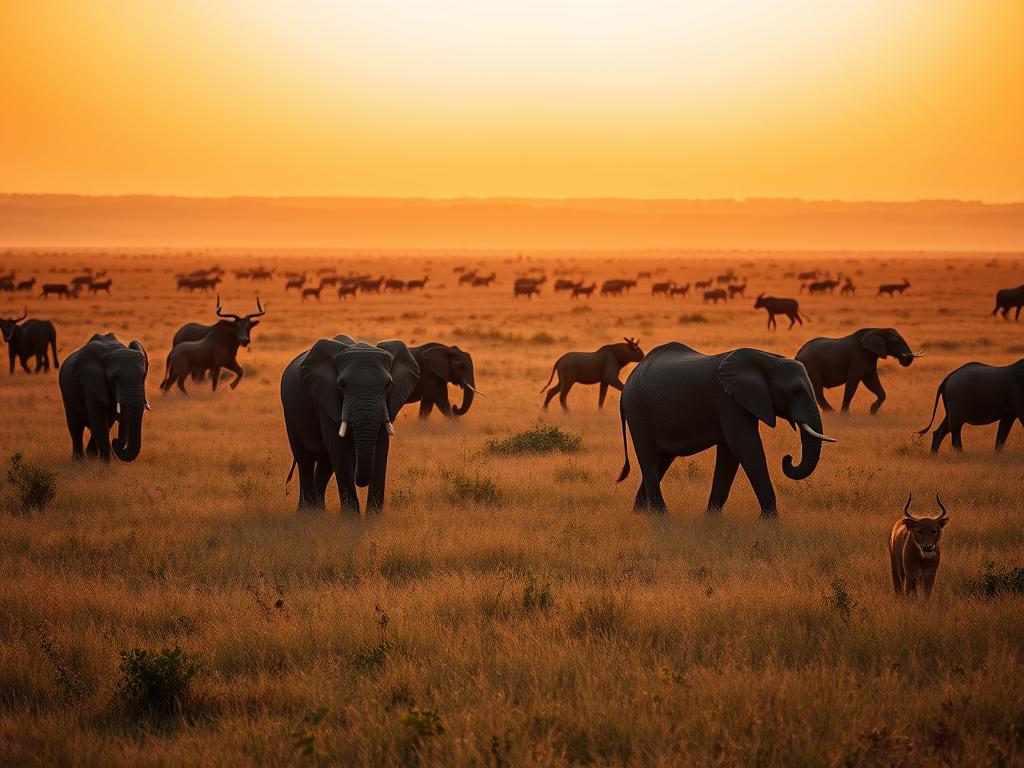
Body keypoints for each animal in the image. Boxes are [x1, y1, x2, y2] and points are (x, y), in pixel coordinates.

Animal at [58, 333, 150, 462]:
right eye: (114, 379)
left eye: (143, 376)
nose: (115, 441)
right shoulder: (93, 382)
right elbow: (99, 419)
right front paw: (106, 464)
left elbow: (107, 420)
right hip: (66, 392)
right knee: (75, 426)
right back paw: (78, 461)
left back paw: (91, 456)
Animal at [280, 335, 420, 513]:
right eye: (341, 385)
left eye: (388, 385)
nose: (358, 478)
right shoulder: (327, 399)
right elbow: (340, 449)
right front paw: (351, 519)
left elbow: (381, 447)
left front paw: (372, 518)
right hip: (290, 412)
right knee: (305, 458)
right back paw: (306, 513)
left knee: (326, 463)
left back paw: (319, 512)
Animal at [617, 343, 835, 517]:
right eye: (795, 391)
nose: (788, 458)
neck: (768, 360)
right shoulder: (729, 401)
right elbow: (745, 447)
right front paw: (770, 521)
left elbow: (730, 454)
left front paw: (711, 518)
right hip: (638, 412)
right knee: (648, 458)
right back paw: (662, 516)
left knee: (661, 461)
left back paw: (639, 512)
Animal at [795, 328, 923, 413]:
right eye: (895, 341)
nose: (905, 360)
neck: (878, 330)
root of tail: (797, 355)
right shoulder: (859, 355)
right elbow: (853, 381)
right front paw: (845, 415)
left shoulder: (869, 357)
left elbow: (872, 381)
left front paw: (872, 411)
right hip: (811, 364)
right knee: (817, 389)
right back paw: (832, 413)